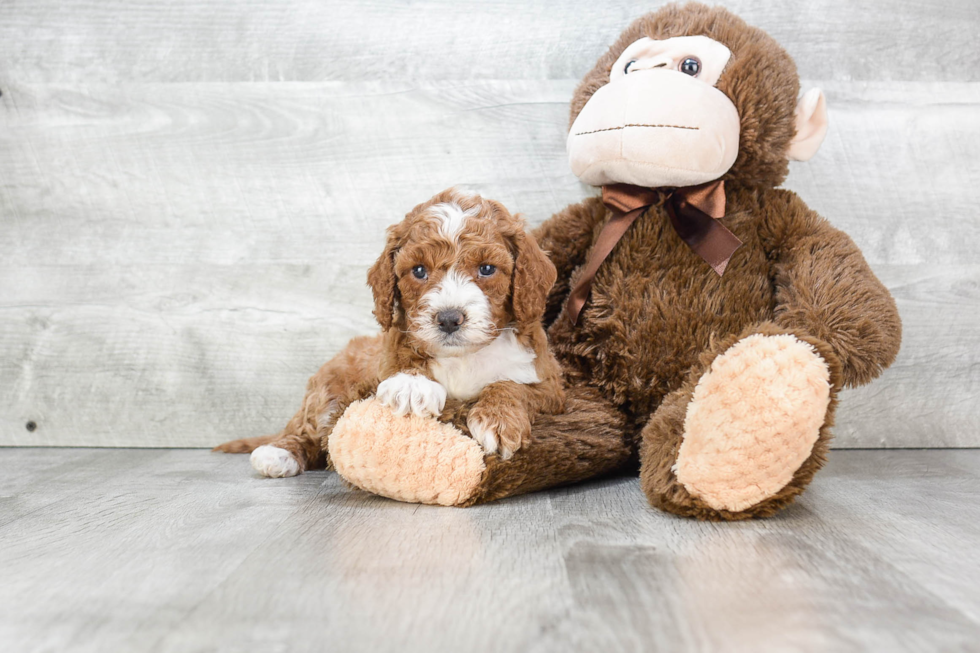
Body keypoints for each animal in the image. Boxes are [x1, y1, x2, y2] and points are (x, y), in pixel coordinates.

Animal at [217, 186, 564, 476]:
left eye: (487, 269)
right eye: (419, 270)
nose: (449, 318)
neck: (464, 357)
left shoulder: (552, 388)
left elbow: (513, 385)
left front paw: (498, 419)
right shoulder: (384, 358)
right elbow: (400, 354)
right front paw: (411, 385)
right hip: (327, 391)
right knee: (306, 429)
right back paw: (278, 453)